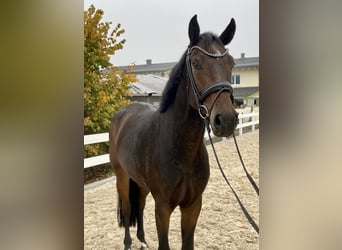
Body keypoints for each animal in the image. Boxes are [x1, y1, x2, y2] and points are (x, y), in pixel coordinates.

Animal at [109, 14, 238, 249]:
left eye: (231, 63)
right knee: (127, 207)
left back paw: (143, 239)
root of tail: (122, 113)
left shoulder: (193, 206)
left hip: (140, 182)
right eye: (196, 63)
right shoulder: (163, 208)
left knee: (139, 205)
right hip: (121, 176)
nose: (226, 120)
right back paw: (128, 242)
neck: (181, 149)